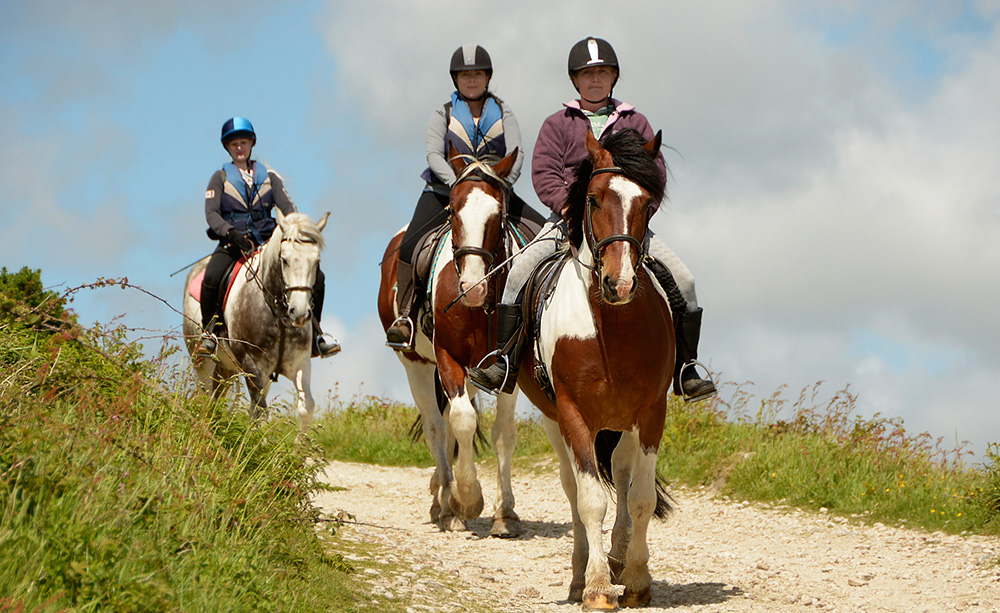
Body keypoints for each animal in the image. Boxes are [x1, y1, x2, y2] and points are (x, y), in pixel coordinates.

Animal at [182, 208, 330, 428]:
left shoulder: (300, 363)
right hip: (202, 361)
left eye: (317, 262)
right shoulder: (252, 365)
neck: (278, 315)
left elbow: (306, 408)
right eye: (284, 260)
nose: (300, 313)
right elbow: (261, 414)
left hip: (230, 370)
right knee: (204, 397)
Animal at [376, 147, 524, 536]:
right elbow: (461, 421)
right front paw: (467, 498)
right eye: (452, 211)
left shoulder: (508, 366)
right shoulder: (447, 358)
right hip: (415, 365)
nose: (472, 287)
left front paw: (505, 513)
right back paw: (445, 502)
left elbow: (503, 433)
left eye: (498, 214)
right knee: (437, 427)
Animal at [520, 129, 676, 608]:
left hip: (622, 424)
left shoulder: (650, 413)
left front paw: (638, 579)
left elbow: (640, 498)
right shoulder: (573, 414)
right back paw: (580, 574)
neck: (611, 332)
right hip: (558, 423)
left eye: (648, 203)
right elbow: (590, 500)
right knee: (574, 492)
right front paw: (598, 587)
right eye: (592, 199)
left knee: (623, 476)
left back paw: (619, 556)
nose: (618, 283)